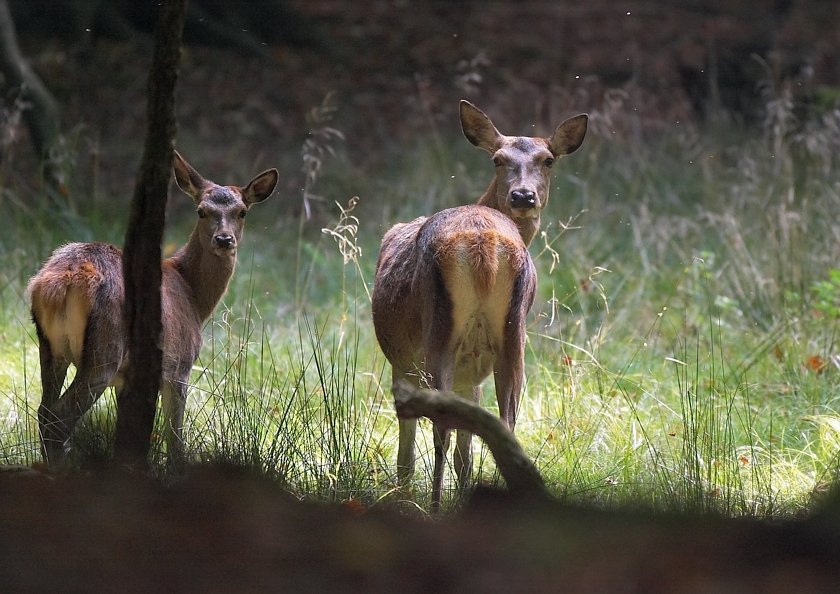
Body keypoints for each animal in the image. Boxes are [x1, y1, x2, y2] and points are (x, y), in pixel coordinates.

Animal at [27, 150, 278, 464]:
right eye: (201, 211)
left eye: (242, 211)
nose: (223, 239)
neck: (194, 298)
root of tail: (61, 281)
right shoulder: (179, 365)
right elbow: (175, 439)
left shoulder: (128, 380)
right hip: (105, 348)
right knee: (59, 417)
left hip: (51, 346)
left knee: (44, 411)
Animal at [370, 99, 588, 506]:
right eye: (498, 159)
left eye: (548, 159)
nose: (523, 196)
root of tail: (483, 244)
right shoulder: (471, 371)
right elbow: (466, 450)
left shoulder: (404, 363)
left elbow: (412, 449)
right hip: (514, 335)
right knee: (506, 421)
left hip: (438, 333)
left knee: (441, 428)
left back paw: (435, 505)